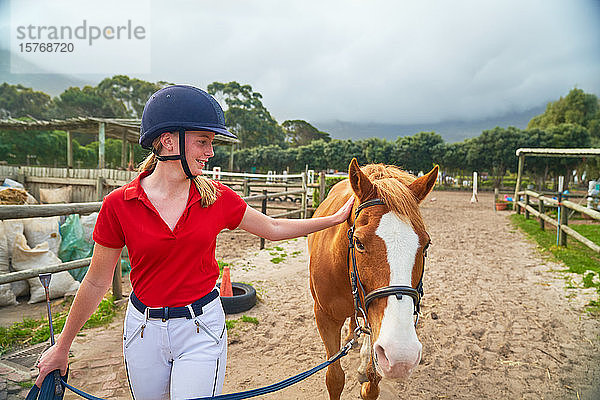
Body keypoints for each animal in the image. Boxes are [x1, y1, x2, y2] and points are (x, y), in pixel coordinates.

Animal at [310, 159, 436, 400]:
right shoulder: (324, 317)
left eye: (426, 245)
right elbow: (334, 378)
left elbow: (373, 377)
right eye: (358, 242)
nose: (401, 355)